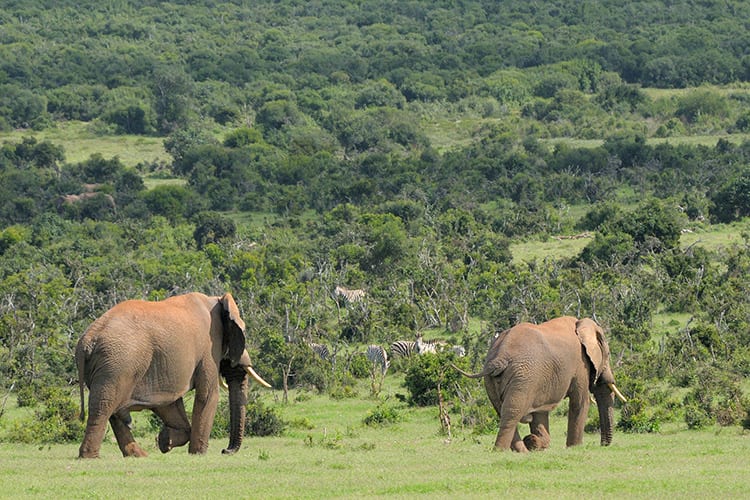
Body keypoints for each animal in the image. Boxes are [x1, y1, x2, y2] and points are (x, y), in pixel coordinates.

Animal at [75, 292, 271, 458]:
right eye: (242, 332)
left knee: (112, 411)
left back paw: (138, 455)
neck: (216, 300)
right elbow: (208, 395)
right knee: (104, 408)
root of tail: (86, 342)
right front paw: (197, 454)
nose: (225, 450)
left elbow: (170, 403)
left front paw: (164, 441)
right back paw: (90, 457)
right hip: (117, 364)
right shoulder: (209, 348)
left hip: (113, 366)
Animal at [455, 316, 626, 452]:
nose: (603, 445)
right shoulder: (581, 365)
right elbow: (580, 403)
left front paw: (537, 443)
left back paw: (523, 449)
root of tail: (499, 359)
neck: (582, 324)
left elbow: (540, 412)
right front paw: (574, 448)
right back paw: (502, 451)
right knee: (512, 412)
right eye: (608, 354)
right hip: (523, 377)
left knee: (502, 411)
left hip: (496, 380)